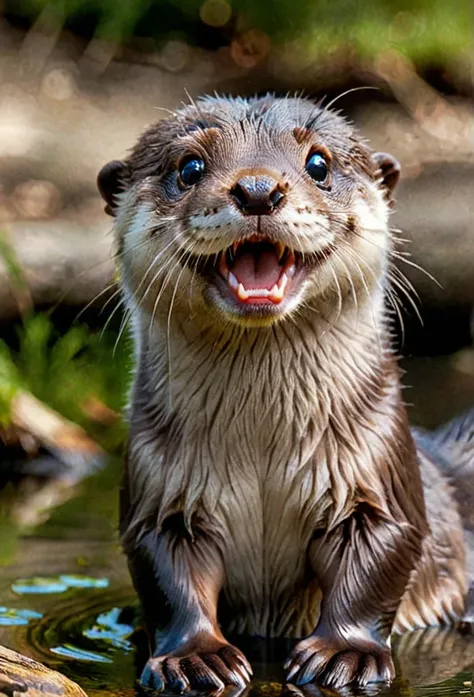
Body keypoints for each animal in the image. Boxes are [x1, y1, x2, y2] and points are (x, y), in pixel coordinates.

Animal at [98, 94, 472, 692]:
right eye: (189, 167)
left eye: (318, 163)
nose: (257, 189)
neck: (262, 446)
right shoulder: (160, 485)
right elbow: (166, 573)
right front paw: (195, 657)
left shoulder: (375, 465)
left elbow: (381, 554)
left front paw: (346, 654)